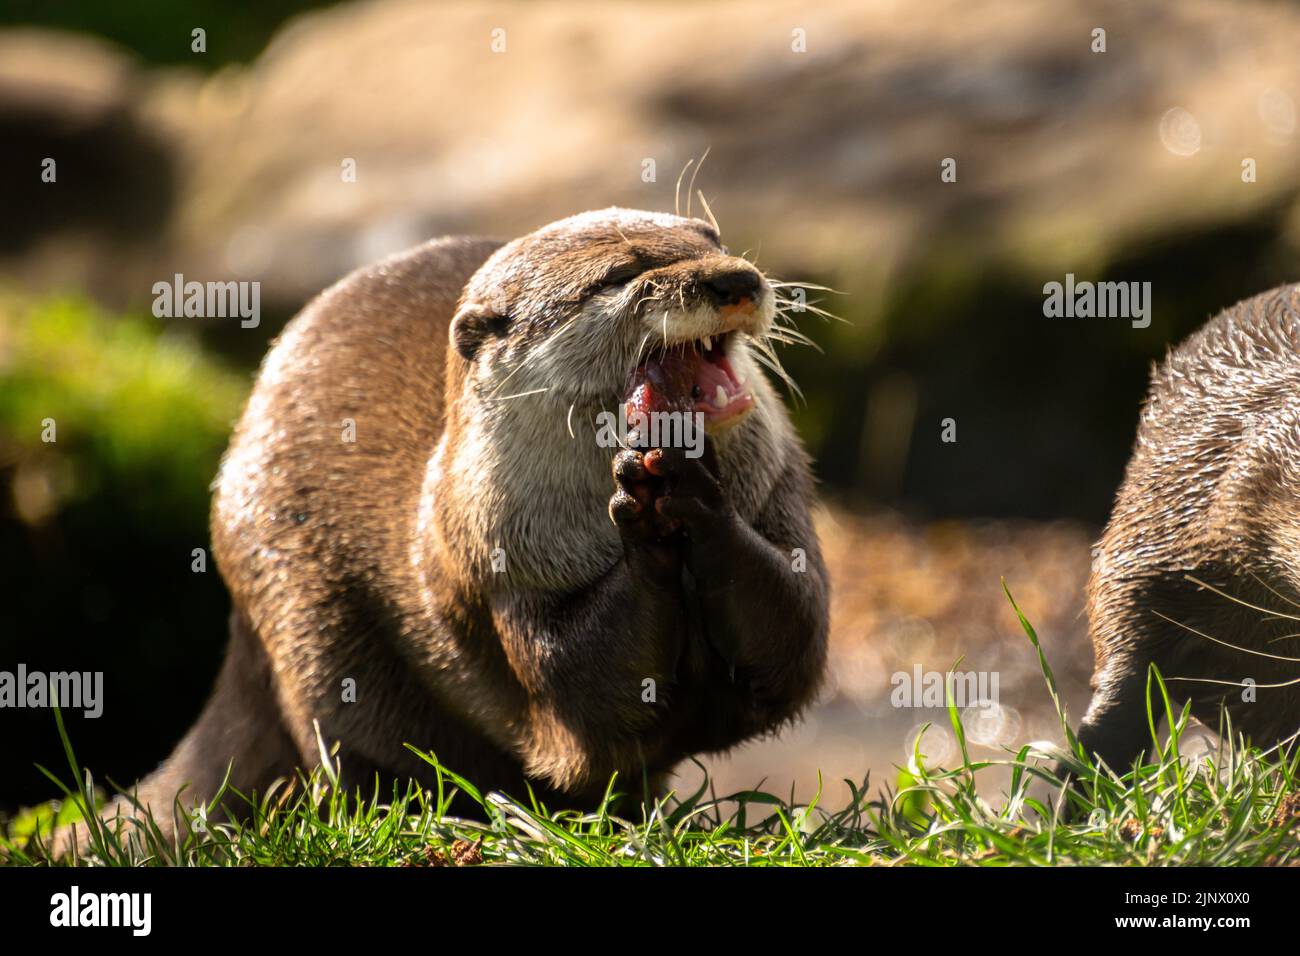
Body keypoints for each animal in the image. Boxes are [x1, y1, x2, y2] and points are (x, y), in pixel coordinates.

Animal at [78, 208, 829, 844]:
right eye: (623, 273)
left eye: (712, 238)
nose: (735, 279)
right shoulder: (498, 567)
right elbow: (577, 680)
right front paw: (646, 512)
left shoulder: (781, 496)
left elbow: (795, 630)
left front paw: (695, 494)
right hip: (305, 622)